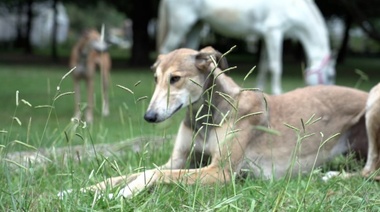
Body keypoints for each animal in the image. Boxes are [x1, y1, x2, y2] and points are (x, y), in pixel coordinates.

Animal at [58, 46, 380, 199]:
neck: (206, 117)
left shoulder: (221, 172)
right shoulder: (178, 162)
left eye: (175, 78)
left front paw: (125, 192)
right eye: (156, 78)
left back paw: (332, 176)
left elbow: (152, 174)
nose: (150, 117)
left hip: (374, 99)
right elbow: (130, 173)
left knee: (371, 172)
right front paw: (77, 191)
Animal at [157, 0, 336, 94]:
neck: (292, 7)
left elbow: (264, 66)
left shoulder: (266, 37)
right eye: (330, 75)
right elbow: (275, 66)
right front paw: (278, 92)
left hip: (196, 25)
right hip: (180, 25)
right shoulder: (274, 33)